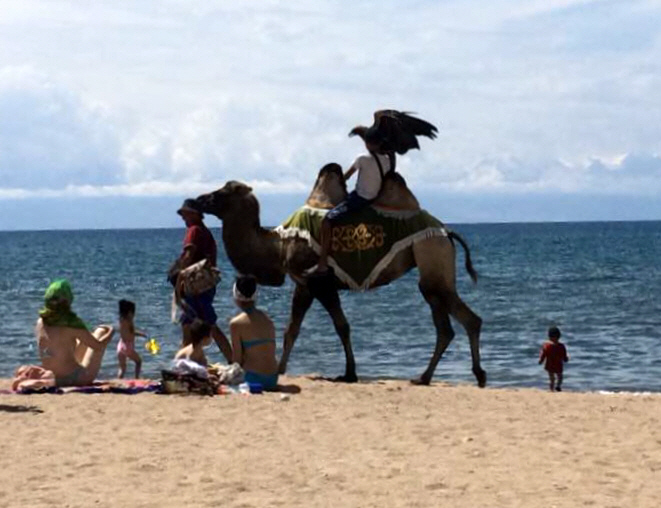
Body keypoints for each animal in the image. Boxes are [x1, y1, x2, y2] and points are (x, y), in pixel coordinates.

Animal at [196, 164, 486, 386]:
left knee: (465, 319)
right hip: (433, 265)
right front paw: (283, 370)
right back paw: (428, 377)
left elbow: (338, 326)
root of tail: (446, 232)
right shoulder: (306, 285)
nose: (196, 200)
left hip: (431, 254)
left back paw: (472, 376)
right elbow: (297, 329)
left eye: (223, 192)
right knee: (446, 327)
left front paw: (347, 374)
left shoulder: (318, 281)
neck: (278, 244)